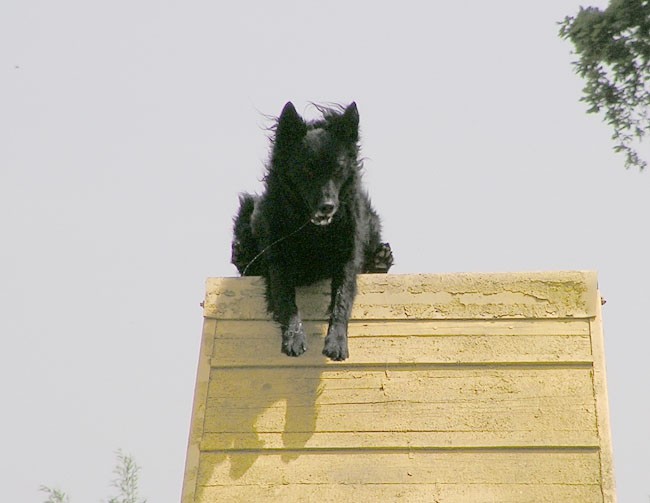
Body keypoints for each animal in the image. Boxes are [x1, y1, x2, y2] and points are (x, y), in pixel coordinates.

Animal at [230, 102, 390, 360]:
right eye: (307, 170)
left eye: (338, 169)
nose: (328, 206)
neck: (313, 231)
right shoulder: (278, 260)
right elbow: (285, 298)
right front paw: (294, 338)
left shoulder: (347, 257)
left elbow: (342, 297)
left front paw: (337, 342)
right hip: (248, 208)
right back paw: (241, 254)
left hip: (372, 221)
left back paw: (381, 259)